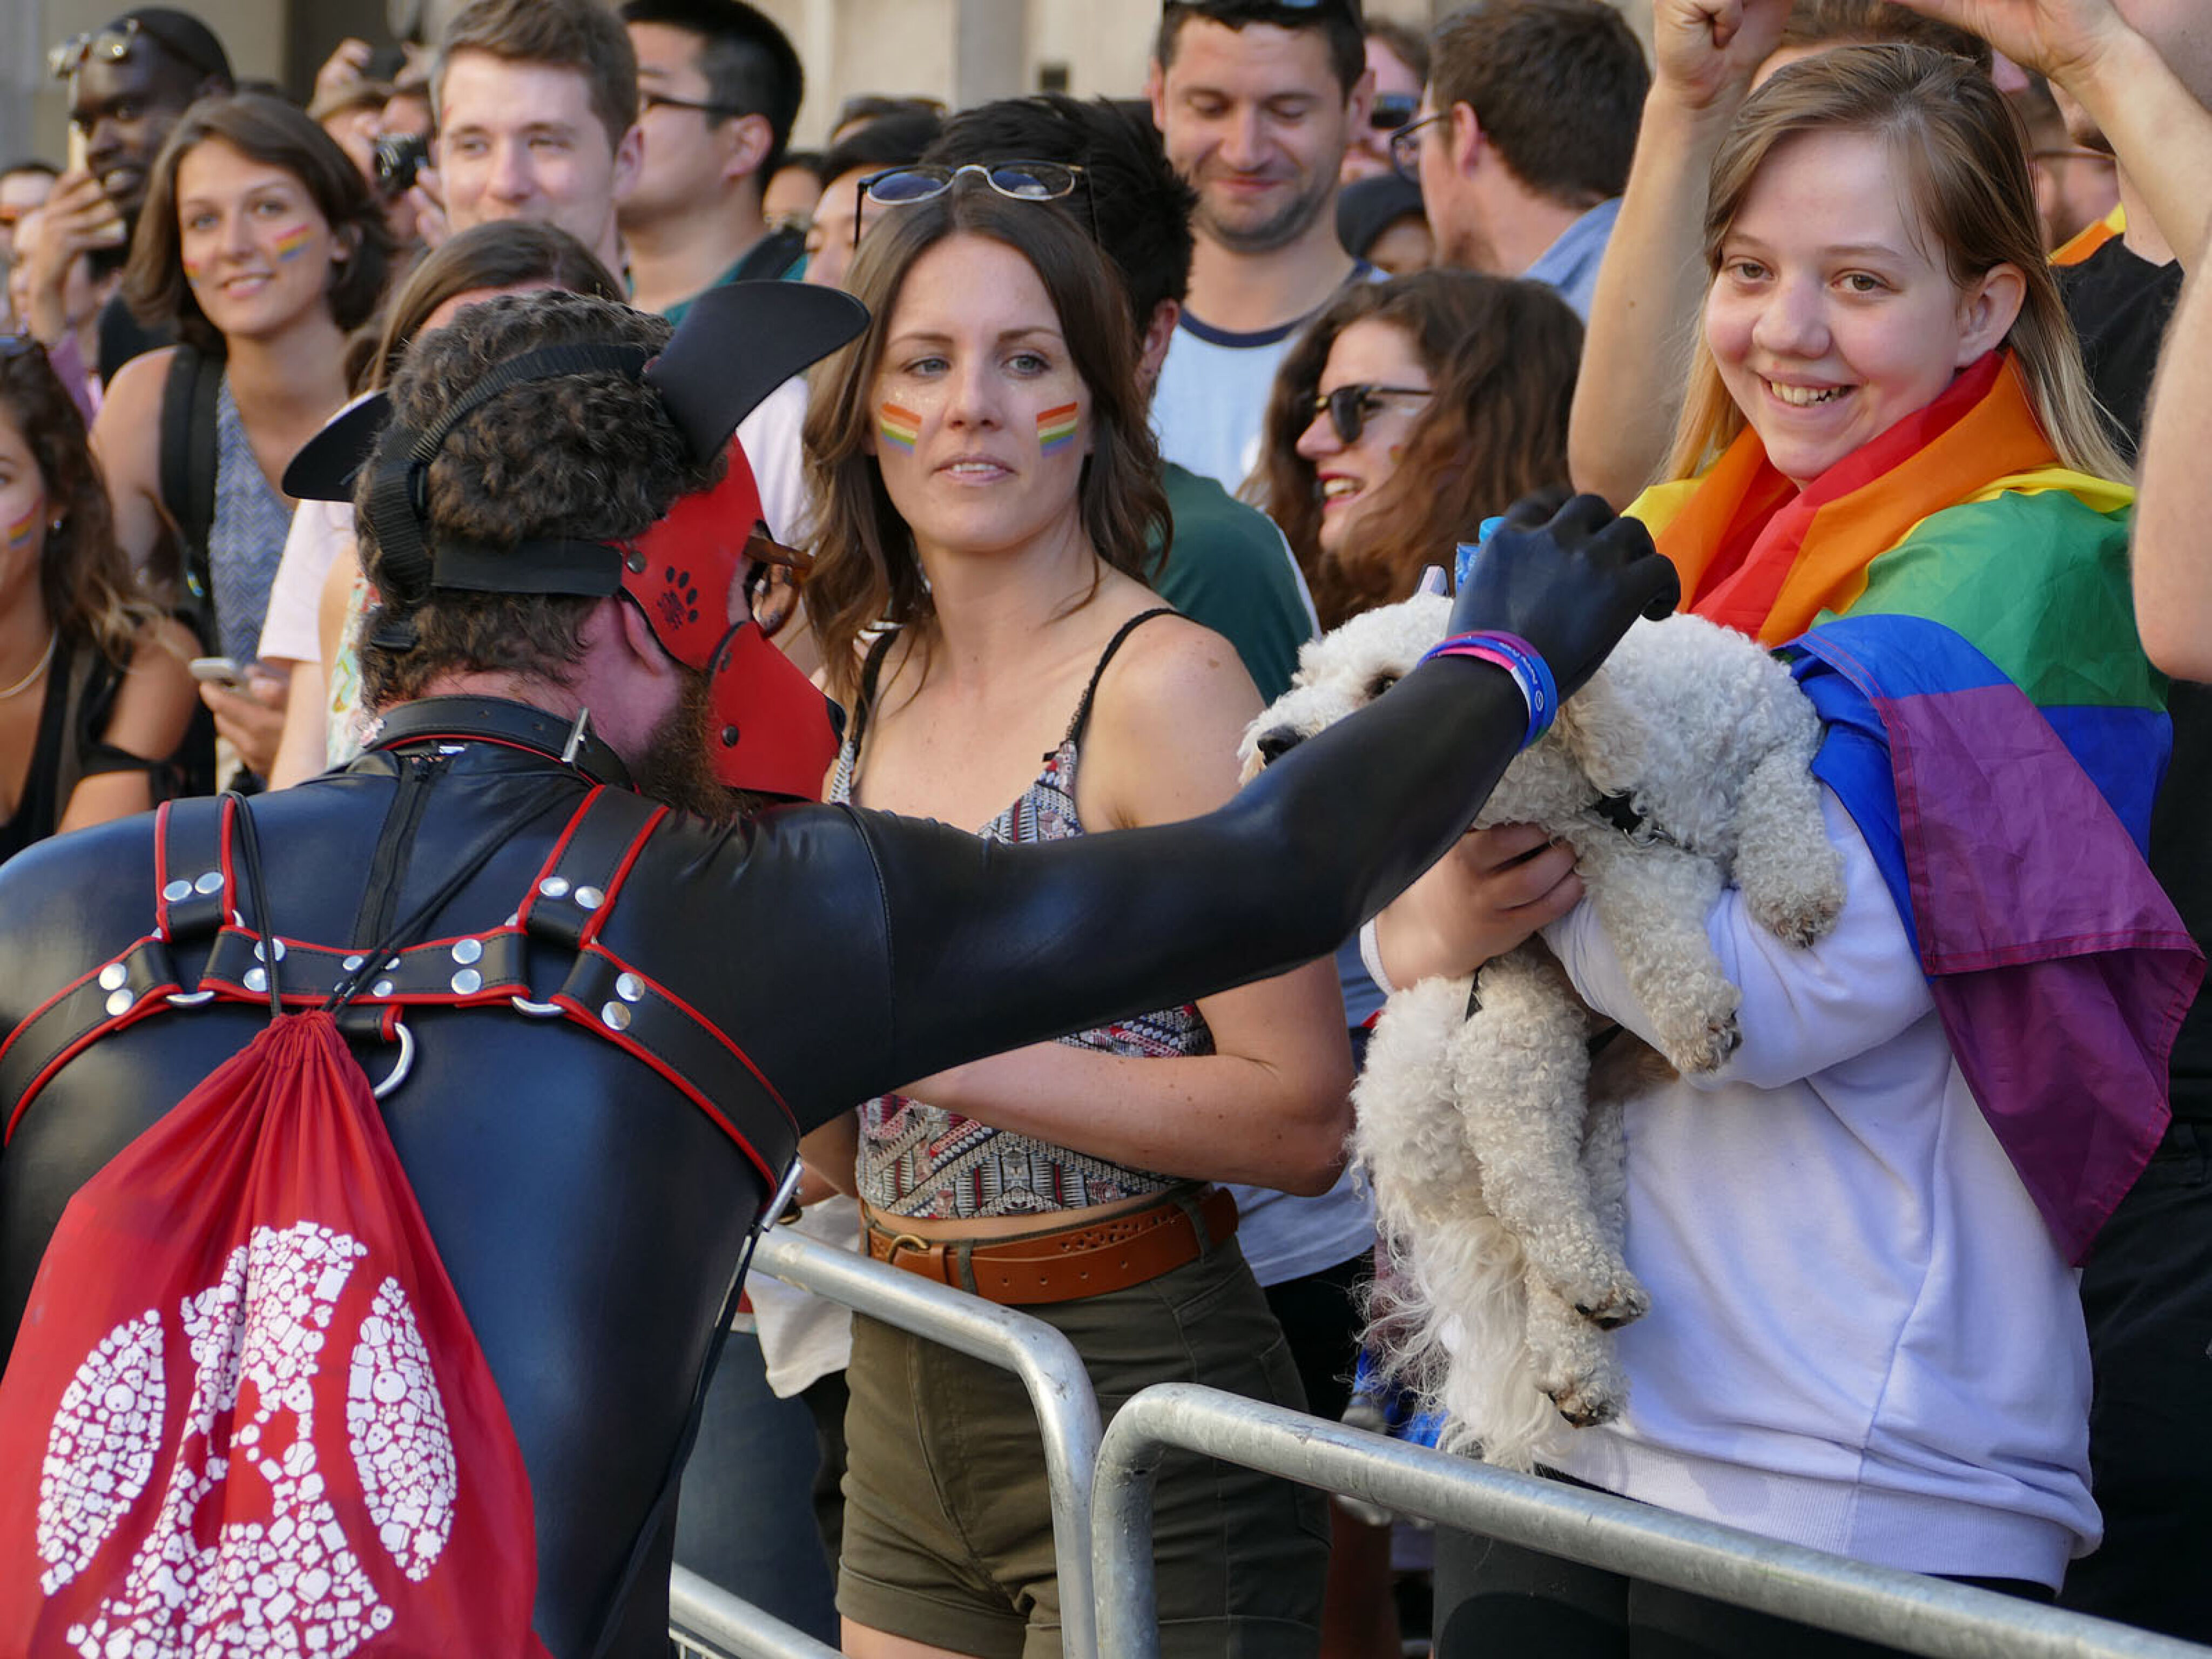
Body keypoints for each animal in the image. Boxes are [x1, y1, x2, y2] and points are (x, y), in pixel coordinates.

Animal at [1241, 592, 1843, 1467]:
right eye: (1307, 676)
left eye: (1387, 684)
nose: (1272, 743)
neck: (1617, 786)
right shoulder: (1593, 862)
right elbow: (1648, 914)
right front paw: (1695, 1012)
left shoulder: (1777, 725)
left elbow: (1778, 791)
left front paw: (1797, 884)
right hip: (1510, 1028)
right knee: (1525, 1177)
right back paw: (1587, 1295)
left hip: (1583, 1106)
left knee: (1562, 1219)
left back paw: (1582, 1353)